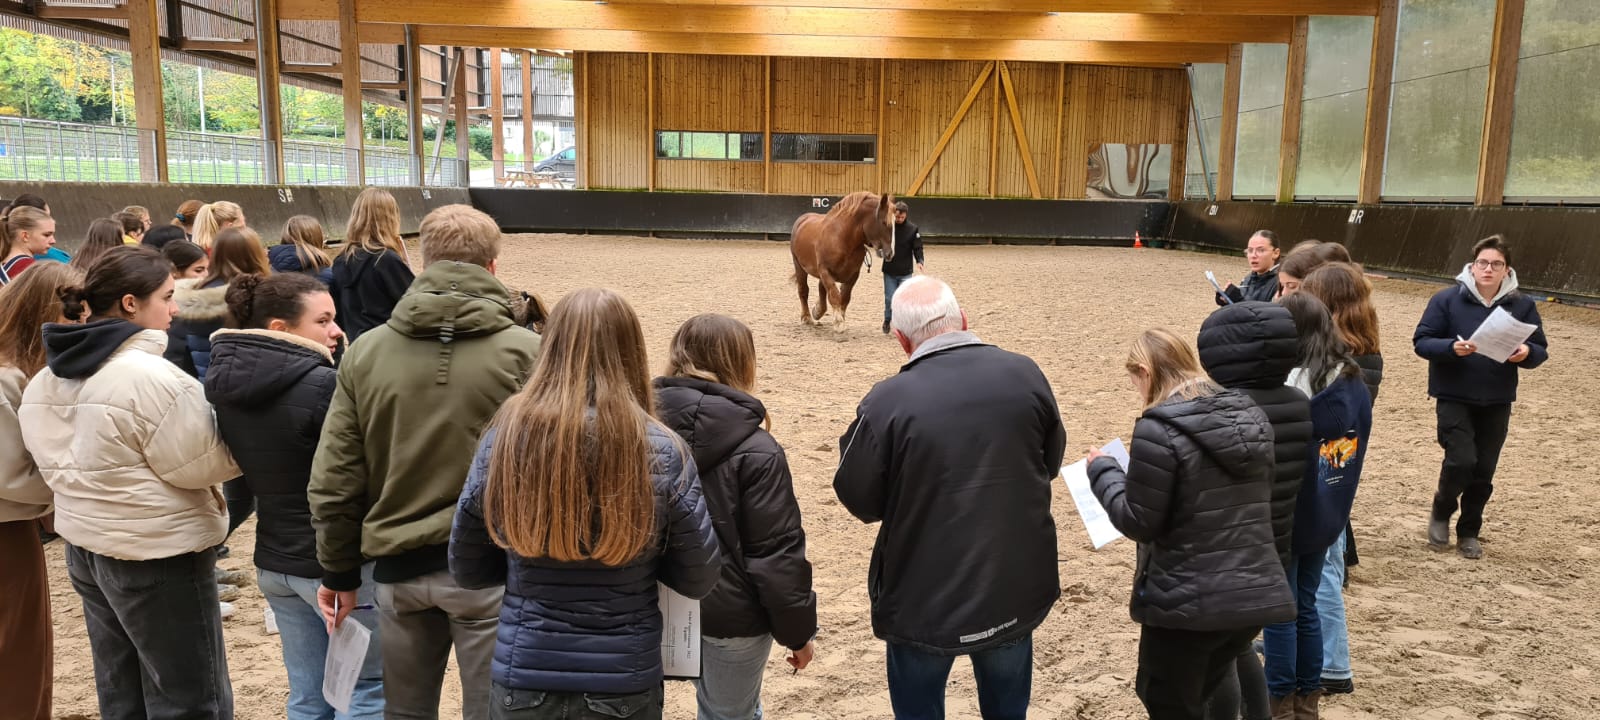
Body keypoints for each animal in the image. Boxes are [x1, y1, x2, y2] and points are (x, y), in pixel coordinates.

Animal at [790, 189, 902, 328]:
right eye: (884, 223)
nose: (890, 253)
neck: (843, 239)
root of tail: (802, 219)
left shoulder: (853, 275)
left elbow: (845, 297)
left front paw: (840, 316)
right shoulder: (825, 271)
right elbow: (834, 294)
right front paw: (838, 321)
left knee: (821, 288)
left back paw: (818, 311)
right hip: (799, 266)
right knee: (803, 291)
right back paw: (806, 317)